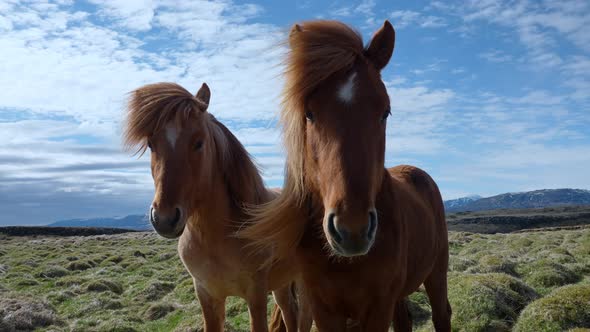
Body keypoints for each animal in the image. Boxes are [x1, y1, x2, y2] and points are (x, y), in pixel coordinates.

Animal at [122, 81, 308, 330]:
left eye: (199, 142)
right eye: (151, 144)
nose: (164, 219)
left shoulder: (256, 296)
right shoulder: (207, 295)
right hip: (282, 283)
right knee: (290, 312)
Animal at [240, 20, 454, 332]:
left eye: (385, 112)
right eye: (309, 114)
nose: (352, 229)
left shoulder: (378, 308)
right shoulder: (323, 308)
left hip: (436, 273)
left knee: (441, 314)